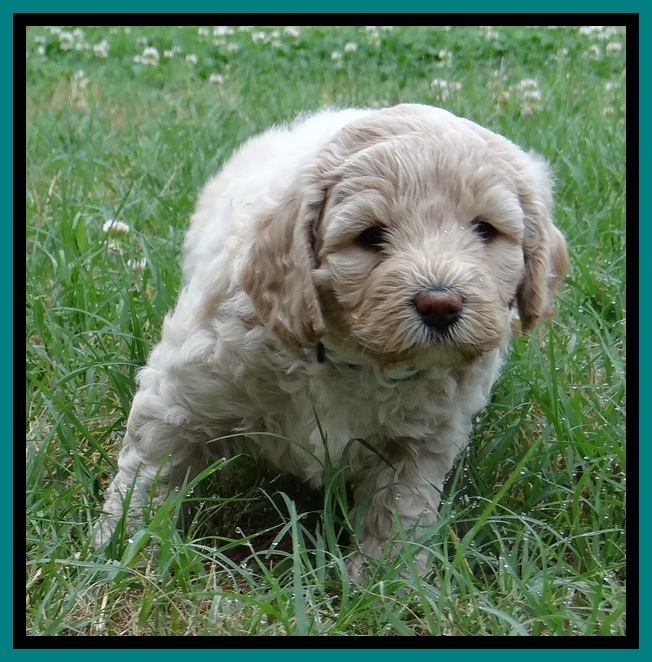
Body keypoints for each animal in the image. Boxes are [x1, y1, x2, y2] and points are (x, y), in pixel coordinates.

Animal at [95, 103, 568, 578]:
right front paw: (124, 549)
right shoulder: (184, 391)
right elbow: (152, 469)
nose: (440, 304)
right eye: (370, 236)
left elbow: (399, 506)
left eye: (484, 230)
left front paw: (385, 578)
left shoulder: (421, 439)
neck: (351, 360)